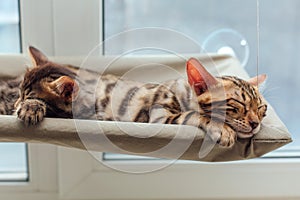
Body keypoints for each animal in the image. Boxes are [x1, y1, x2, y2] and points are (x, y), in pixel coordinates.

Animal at [14, 46, 268, 147]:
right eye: (237, 105)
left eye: (262, 109)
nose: (255, 123)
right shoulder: (159, 118)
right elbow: (192, 115)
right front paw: (223, 129)